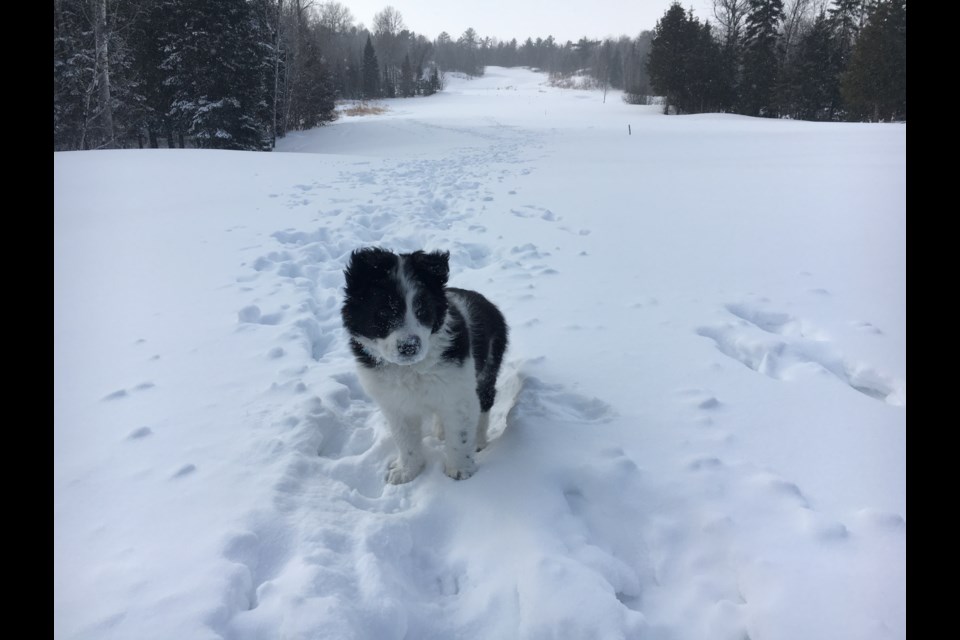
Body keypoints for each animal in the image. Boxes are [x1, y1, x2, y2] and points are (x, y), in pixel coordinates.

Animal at [344, 248, 510, 482]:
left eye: (422, 310)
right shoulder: (396, 404)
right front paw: (407, 471)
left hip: (488, 368)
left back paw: (478, 442)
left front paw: (460, 471)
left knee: (485, 403)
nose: (409, 347)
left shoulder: (459, 394)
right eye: (384, 311)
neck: (409, 369)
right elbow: (405, 441)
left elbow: (460, 436)